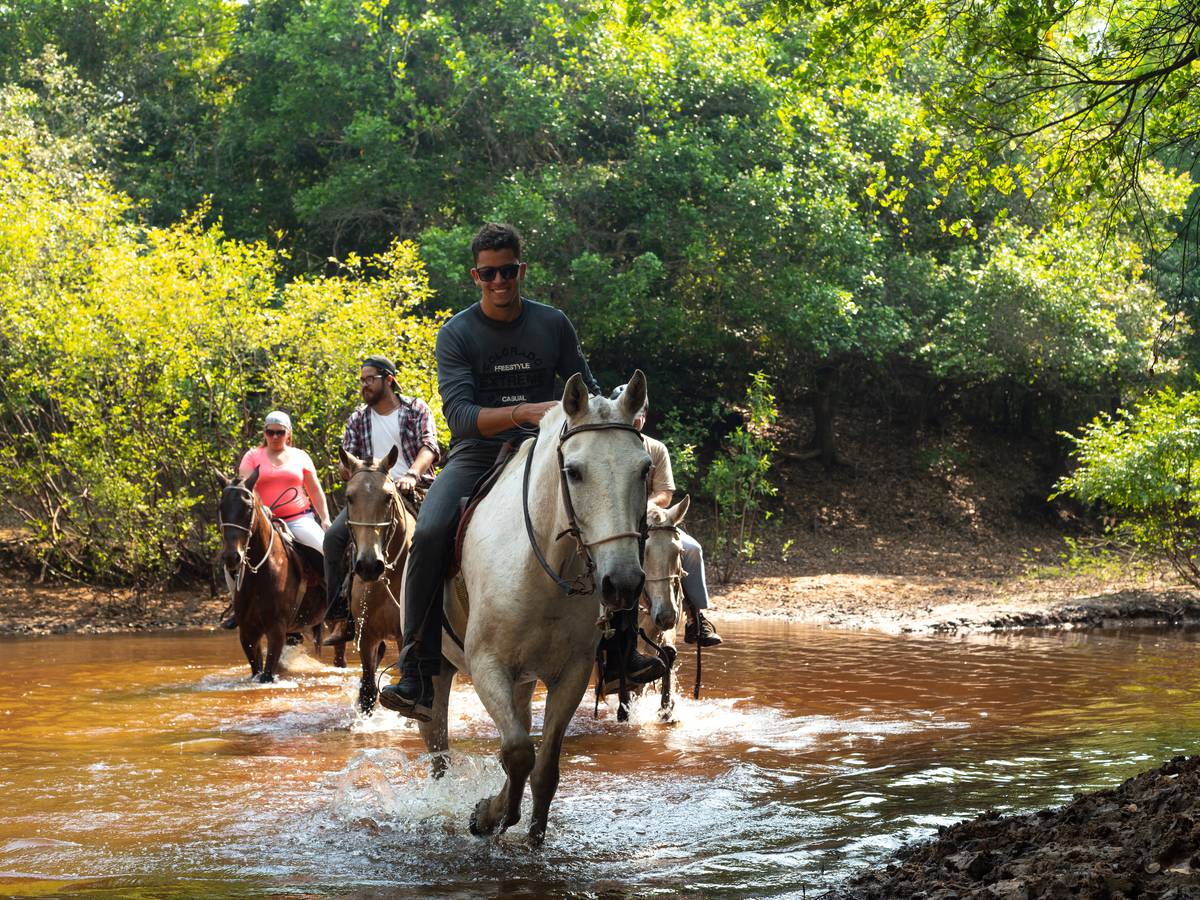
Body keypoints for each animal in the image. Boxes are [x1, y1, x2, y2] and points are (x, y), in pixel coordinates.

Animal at [217, 468, 336, 681]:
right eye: (221, 507)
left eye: (248, 508)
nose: (232, 557)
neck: (259, 572)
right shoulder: (247, 632)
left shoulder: (276, 630)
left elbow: (267, 674)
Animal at [338, 448, 417, 715]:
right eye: (349, 497)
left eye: (388, 497)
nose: (370, 565)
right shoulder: (366, 635)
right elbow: (368, 691)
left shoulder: (404, 637)